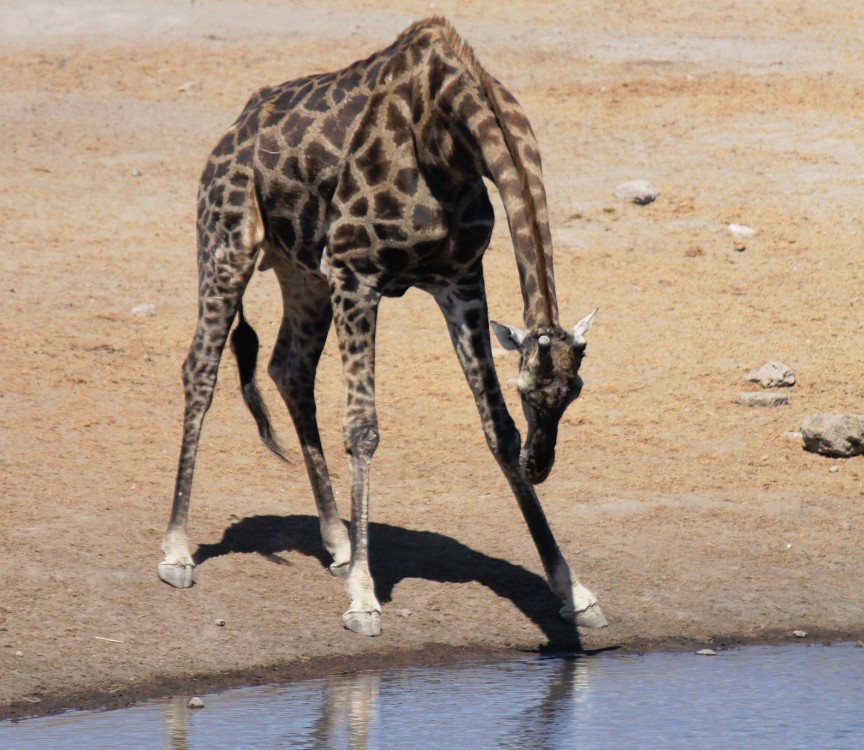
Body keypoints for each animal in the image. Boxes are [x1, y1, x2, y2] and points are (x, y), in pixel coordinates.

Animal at [159, 16, 604, 640]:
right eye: (527, 391)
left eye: (574, 393)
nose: (540, 467)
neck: (446, 140)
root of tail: (229, 135)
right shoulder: (356, 272)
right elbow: (363, 430)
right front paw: (364, 600)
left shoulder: (460, 279)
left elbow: (497, 430)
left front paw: (575, 592)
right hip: (228, 243)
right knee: (200, 368)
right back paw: (177, 551)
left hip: (301, 271)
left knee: (288, 367)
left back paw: (340, 541)